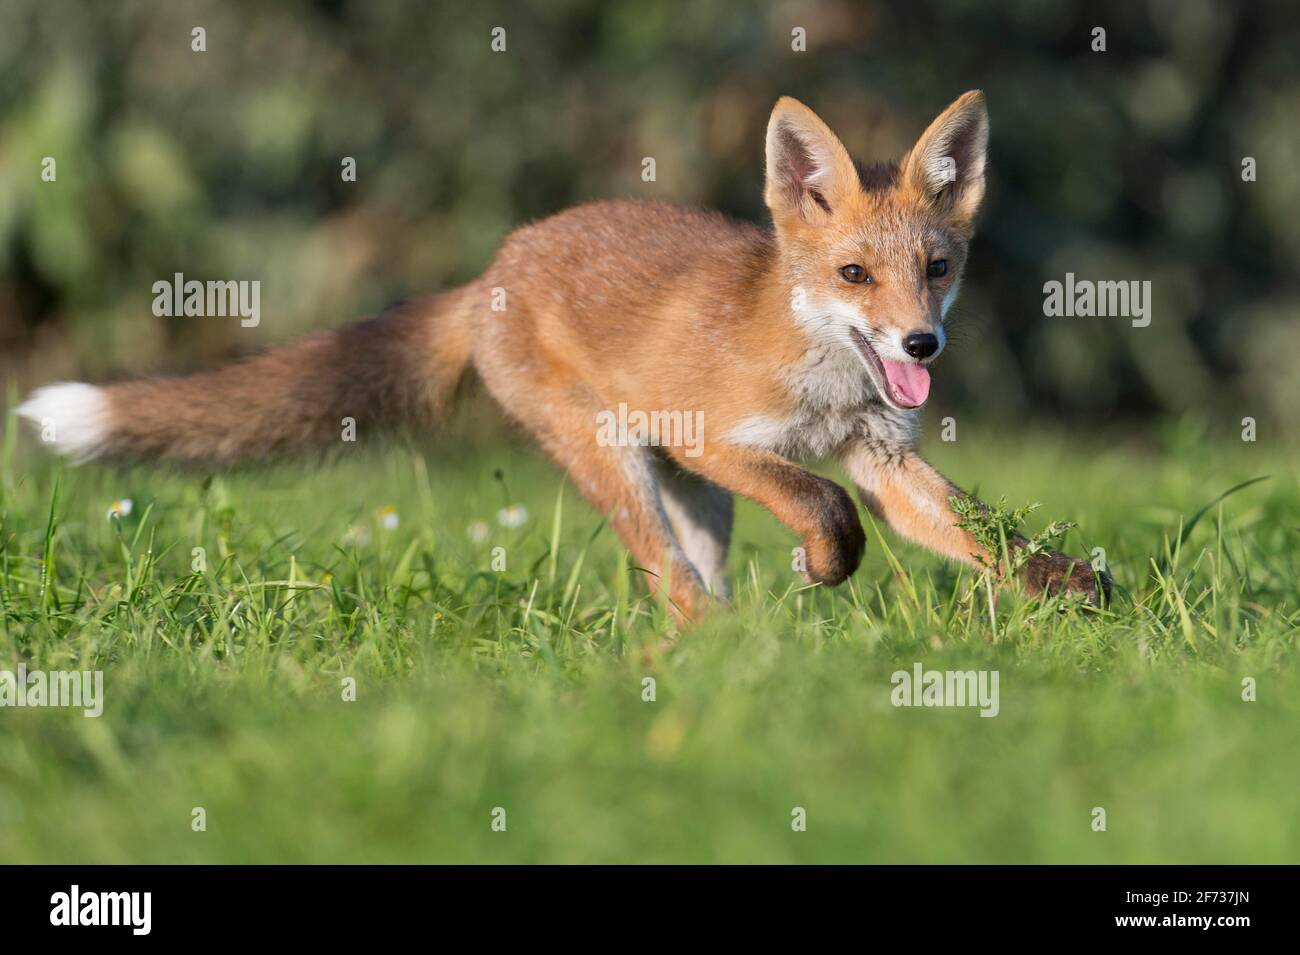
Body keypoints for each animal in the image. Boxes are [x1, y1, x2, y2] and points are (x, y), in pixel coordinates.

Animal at [17, 93, 1107, 621]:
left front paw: (1074, 588)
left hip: (688, 495)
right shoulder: (719, 438)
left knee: (691, 584)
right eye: (853, 275)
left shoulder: (880, 453)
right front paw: (827, 562)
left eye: (936, 268)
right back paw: (728, 650)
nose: (922, 342)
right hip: (620, 460)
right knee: (673, 585)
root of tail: (498, 261)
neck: (825, 385)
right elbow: (823, 502)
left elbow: (981, 534)